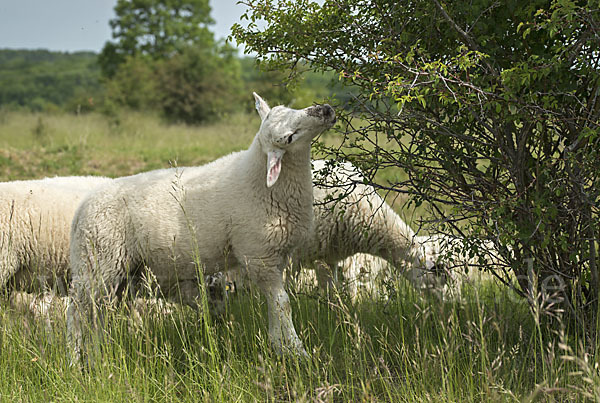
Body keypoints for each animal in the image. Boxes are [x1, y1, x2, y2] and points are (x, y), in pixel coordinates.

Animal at [68, 93, 336, 362]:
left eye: (288, 108)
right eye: (289, 137)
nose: (326, 110)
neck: (260, 182)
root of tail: (82, 208)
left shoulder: (275, 256)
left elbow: (275, 305)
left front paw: (280, 345)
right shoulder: (258, 255)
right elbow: (283, 302)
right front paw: (297, 351)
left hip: (119, 270)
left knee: (98, 313)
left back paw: (97, 355)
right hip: (97, 261)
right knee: (77, 311)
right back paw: (74, 358)